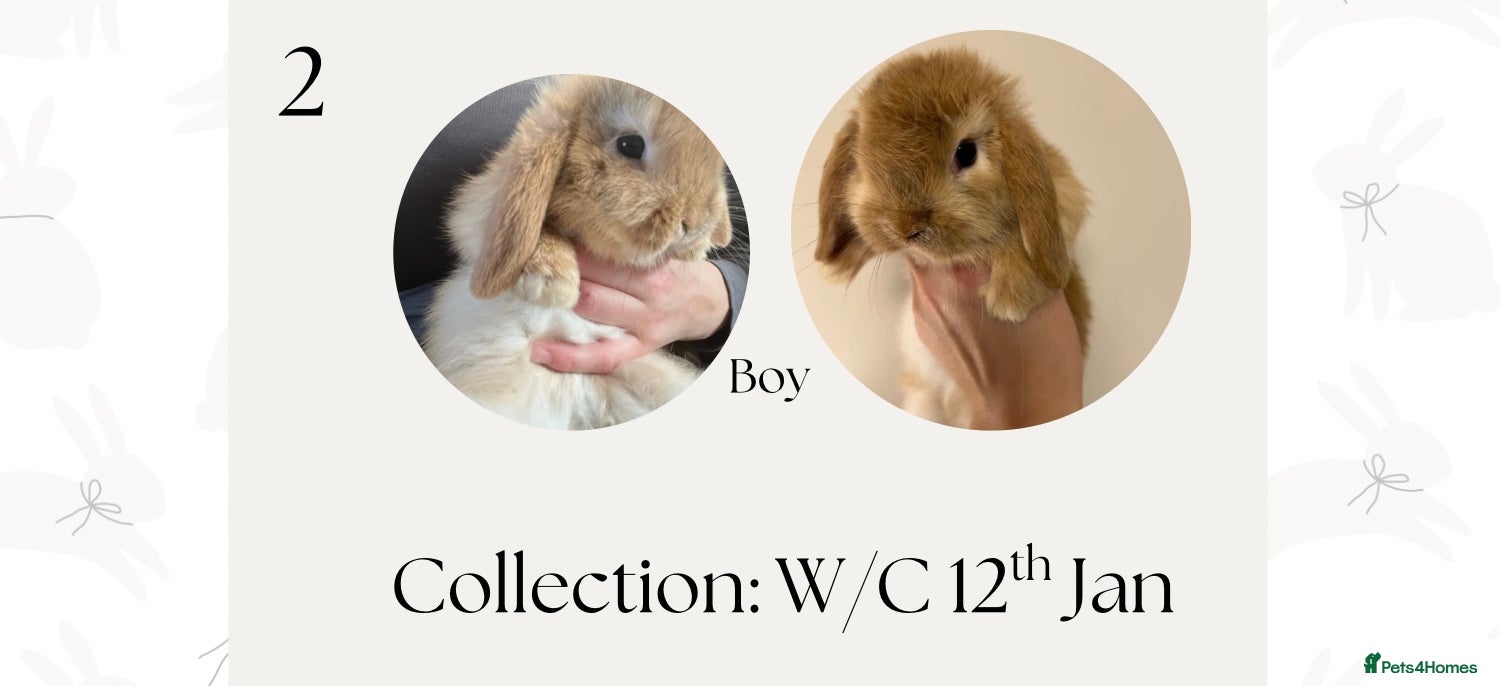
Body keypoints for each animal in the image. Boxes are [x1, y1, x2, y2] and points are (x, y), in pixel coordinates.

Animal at [0, 387, 166, 598]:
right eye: (136, 483)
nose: (162, 507)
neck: (91, 503)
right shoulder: (104, 545)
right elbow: (124, 563)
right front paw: (140, 586)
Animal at [814, 47, 1091, 429]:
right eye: (863, 160)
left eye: (966, 153)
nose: (906, 228)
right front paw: (836, 267)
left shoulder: (1066, 196)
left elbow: (1020, 242)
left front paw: (1011, 298)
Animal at [1313, 90, 1500, 321]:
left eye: (1349, 161)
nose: (1315, 169)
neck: (1374, 201)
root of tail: (1482, 295)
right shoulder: (1357, 261)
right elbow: (1354, 289)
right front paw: (1348, 315)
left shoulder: (1379, 264)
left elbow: (1379, 292)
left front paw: (1378, 318)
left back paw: (1414, 314)